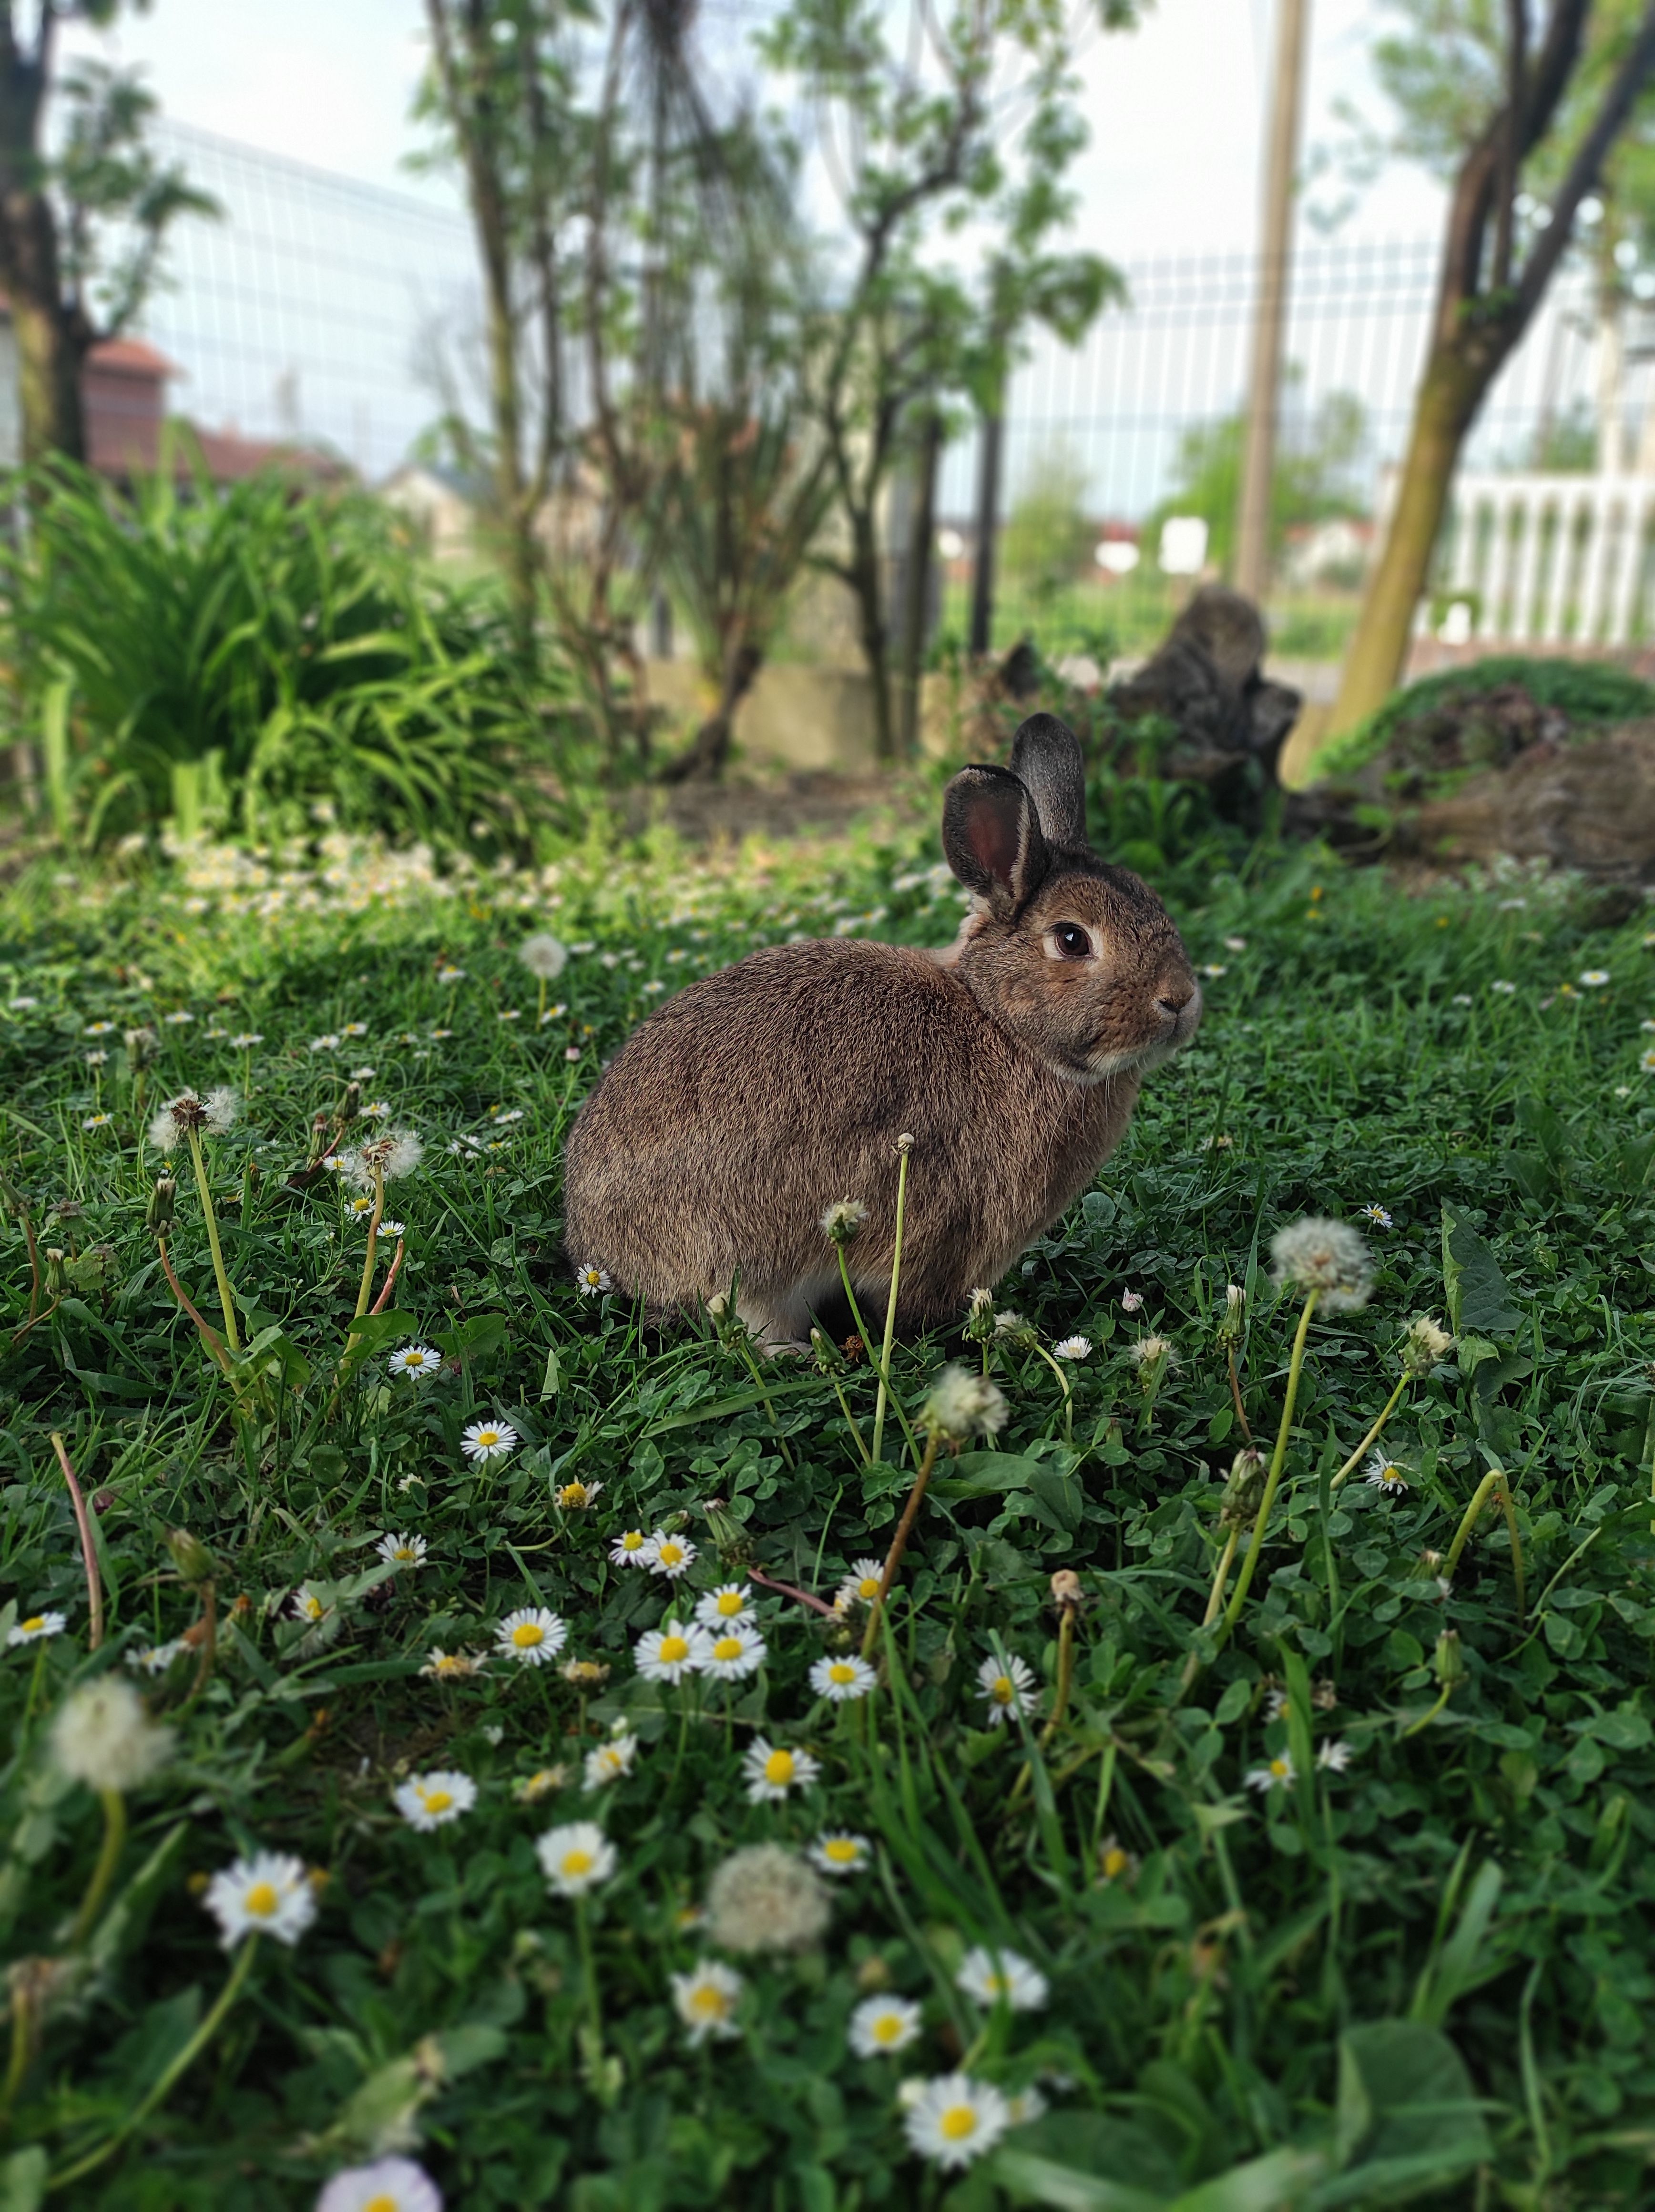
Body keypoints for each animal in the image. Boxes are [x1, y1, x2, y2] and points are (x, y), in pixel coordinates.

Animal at [562, 713, 1201, 1345]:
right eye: (1072, 940)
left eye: (1154, 900)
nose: (1179, 999)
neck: (1000, 1021)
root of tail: (595, 1242)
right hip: (742, 1246)